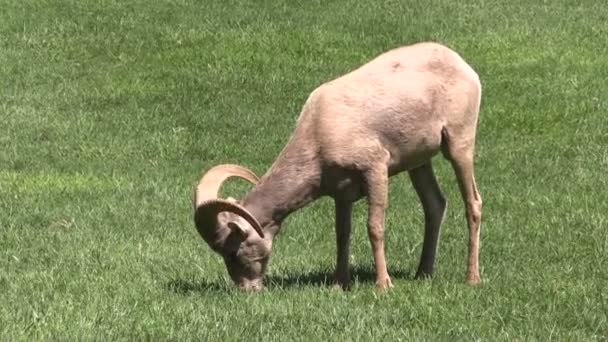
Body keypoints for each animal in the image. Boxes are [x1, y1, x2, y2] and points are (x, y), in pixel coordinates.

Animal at [192, 41, 482, 290]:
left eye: (232, 250)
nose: (246, 289)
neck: (319, 134)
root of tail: (462, 64)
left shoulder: (375, 170)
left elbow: (375, 227)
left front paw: (383, 285)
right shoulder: (342, 194)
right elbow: (342, 234)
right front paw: (338, 284)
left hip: (459, 145)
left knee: (473, 204)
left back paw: (472, 278)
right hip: (419, 163)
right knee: (435, 205)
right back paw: (423, 273)